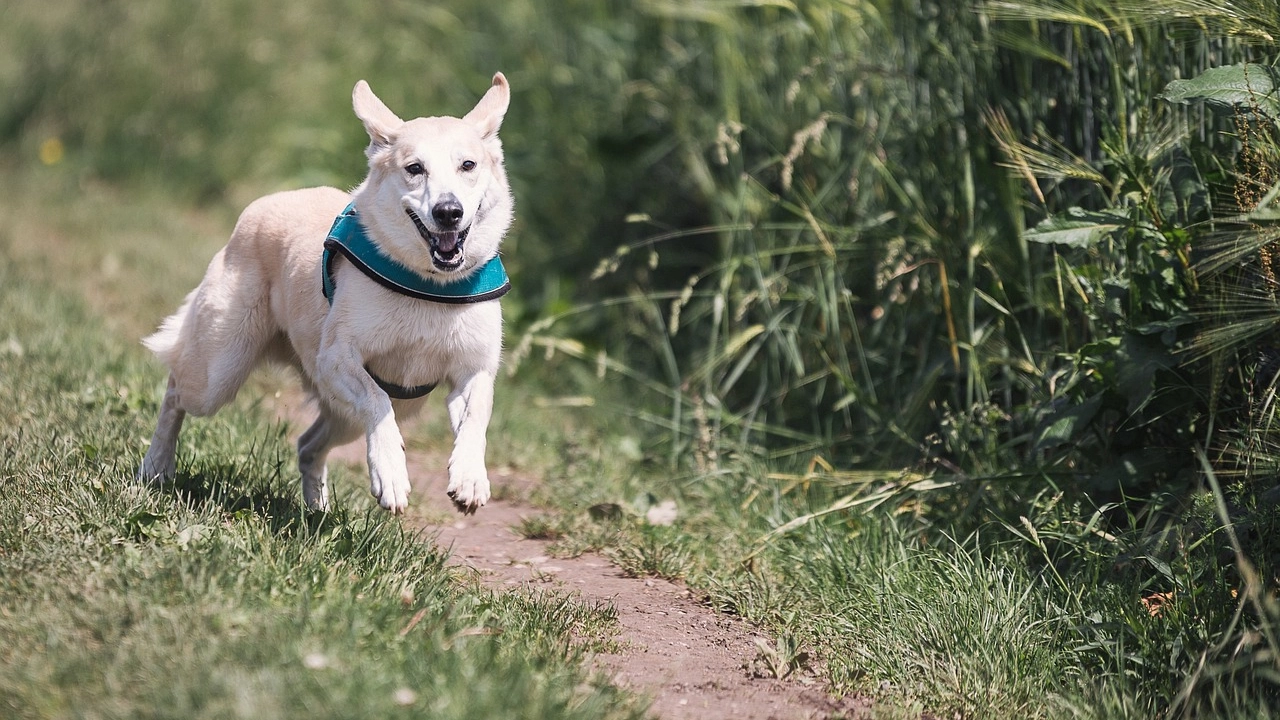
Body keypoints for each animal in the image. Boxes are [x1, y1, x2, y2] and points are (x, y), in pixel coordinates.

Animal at [140, 73, 514, 512]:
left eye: (468, 165)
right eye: (414, 168)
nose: (448, 212)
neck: (429, 286)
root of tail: (263, 204)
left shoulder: (473, 371)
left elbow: (477, 416)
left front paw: (470, 477)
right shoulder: (337, 359)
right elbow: (376, 401)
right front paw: (391, 474)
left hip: (344, 415)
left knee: (308, 444)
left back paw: (317, 510)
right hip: (218, 372)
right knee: (175, 391)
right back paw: (156, 467)